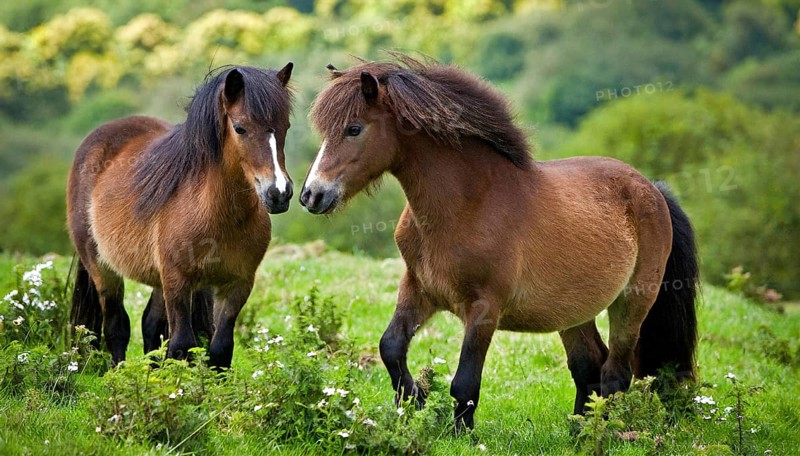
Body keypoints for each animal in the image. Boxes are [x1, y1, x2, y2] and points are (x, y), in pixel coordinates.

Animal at [67, 64, 294, 369]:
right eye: (240, 128)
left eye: (285, 126)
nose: (279, 193)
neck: (215, 214)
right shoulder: (178, 281)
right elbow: (181, 345)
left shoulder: (237, 285)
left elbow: (220, 349)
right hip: (102, 269)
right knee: (117, 326)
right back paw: (118, 372)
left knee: (149, 325)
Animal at [300, 55, 699, 430]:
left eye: (354, 129)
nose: (311, 195)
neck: (467, 205)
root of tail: (651, 189)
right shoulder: (420, 289)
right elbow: (391, 347)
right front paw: (415, 400)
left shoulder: (484, 308)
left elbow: (464, 382)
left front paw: (460, 434)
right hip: (574, 312)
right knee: (589, 368)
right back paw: (577, 433)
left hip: (633, 300)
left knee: (615, 374)